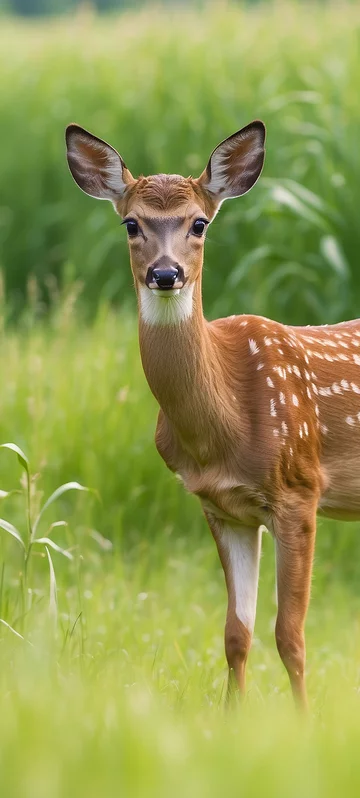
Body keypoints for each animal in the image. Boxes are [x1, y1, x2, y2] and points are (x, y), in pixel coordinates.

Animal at [64, 120, 360, 712]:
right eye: (131, 223)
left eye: (199, 222)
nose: (165, 273)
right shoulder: (222, 507)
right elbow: (236, 634)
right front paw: (232, 720)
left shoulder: (300, 489)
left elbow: (290, 635)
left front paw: (304, 722)